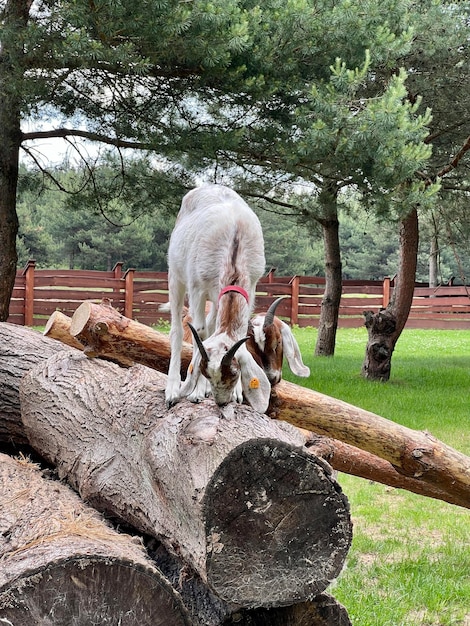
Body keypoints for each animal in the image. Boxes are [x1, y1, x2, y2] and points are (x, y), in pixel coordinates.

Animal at [165, 183, 270, 412]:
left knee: (213, 322)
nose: (222, 402)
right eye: (206, 372)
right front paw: (195, 392)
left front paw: (238, 393)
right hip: (175, 274)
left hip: (215, 296)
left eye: (235, 372)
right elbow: (200, 331)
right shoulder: (197, 287)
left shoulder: (253, 285)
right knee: (178, 330)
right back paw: (172, 390)